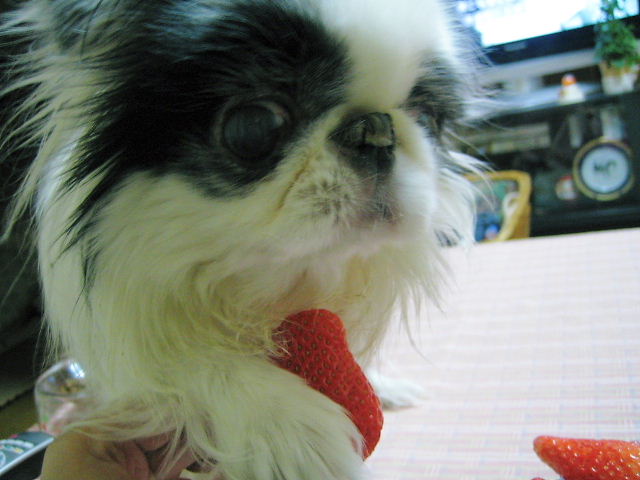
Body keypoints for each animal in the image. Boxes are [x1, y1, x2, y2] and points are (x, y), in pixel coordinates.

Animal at [1, 0, 480, 478]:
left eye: (426, 118)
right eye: (254, 126)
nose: (377, 128)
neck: (274, 278)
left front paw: (381, 385)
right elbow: (189, 362)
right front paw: (289, 428)